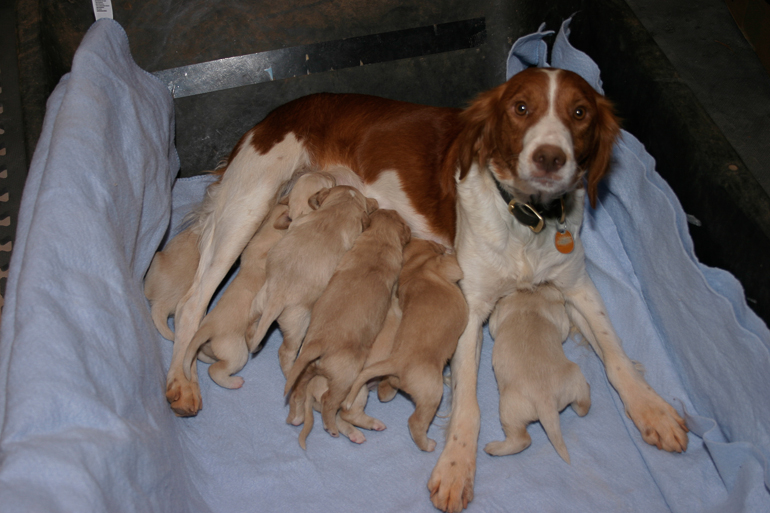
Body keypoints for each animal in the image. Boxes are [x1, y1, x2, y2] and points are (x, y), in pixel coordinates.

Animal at [180, 202, 292, 386]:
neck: (267, 231)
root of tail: (206, 329)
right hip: (236, 354)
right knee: (215, 371)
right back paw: (235, 382)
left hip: (207, 348)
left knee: (204, 357)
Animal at [284, 209, 412, 444]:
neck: (379, 240)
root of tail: (317, 343)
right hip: (348, 379)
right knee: (335, 406)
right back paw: (342, 427)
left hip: (306, 370)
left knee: (298, 391)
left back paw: (296, 417)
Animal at [344, 238, 468, 450]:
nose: (436, 243)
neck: (416, 266)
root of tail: (396, 361)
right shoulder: (447, 268)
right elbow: (455, 264)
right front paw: (449, 249)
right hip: (432, 392)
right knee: (415, 422)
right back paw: (427, 444)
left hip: (394, 381)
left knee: (387, 391)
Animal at [484, 286, 592, 462]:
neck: (533, 296)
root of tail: (546, 400)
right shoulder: (559, 316)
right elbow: (563, 327)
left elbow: (494, 324)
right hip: (575, 376)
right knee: (583, 406)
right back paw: (585, 394)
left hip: (509, 407)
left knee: (522, 439)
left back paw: (493, 448)